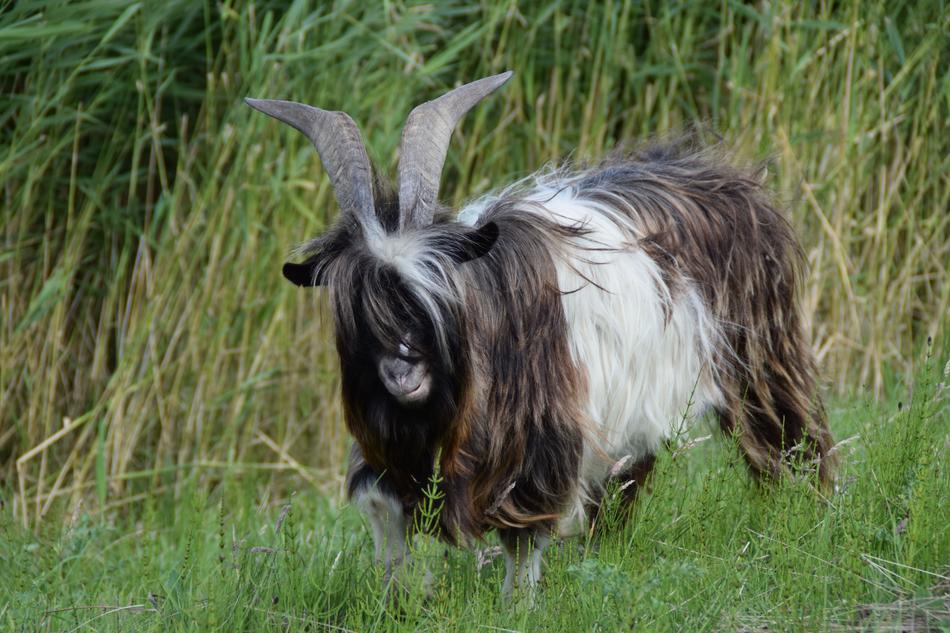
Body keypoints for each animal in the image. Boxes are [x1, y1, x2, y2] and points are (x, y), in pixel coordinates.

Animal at [246, 71, 835, 597]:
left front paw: (518, 607)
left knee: (792, 440)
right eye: (360, 309)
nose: (401, 373)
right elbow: (385, 515)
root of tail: (729, 178)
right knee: (627, 479)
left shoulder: (540, 443)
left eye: (431, 295)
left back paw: (812, 514)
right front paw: (399, 599)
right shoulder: (388, 440)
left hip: (762, 358)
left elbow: (523, 538)